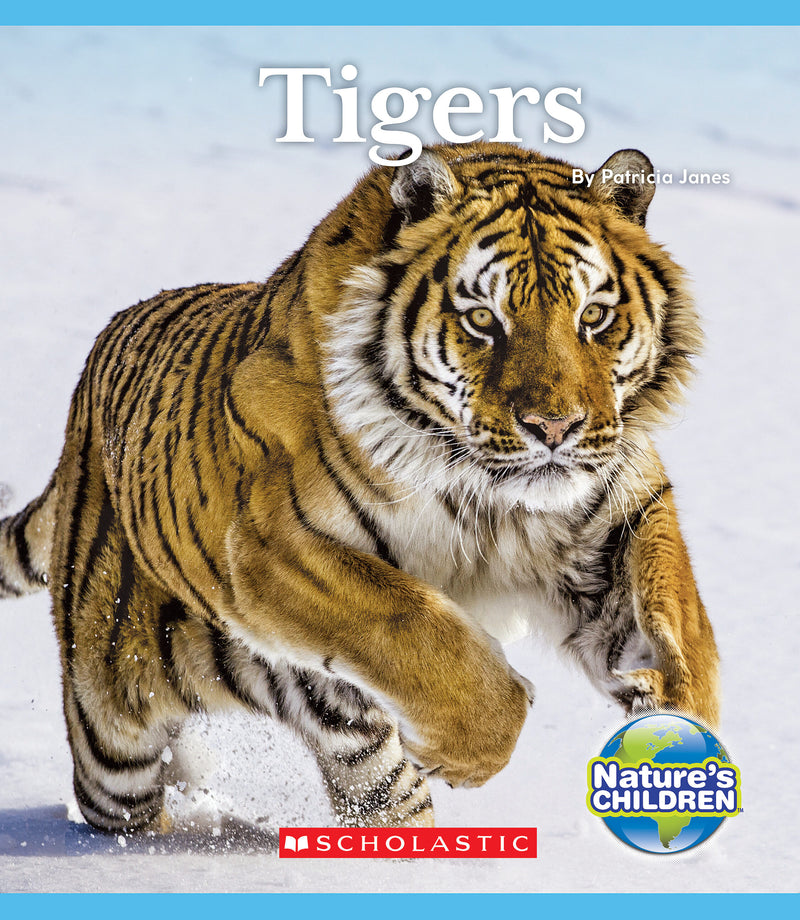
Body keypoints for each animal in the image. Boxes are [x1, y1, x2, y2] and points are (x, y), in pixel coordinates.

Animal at [0, 141, 719, 834]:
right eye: (484, 321)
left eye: (593, 316)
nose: (554, 427)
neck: (495, 497)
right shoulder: (272, 544)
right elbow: (413, 623)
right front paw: (468, 751)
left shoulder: (622, 504)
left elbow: (678, 613)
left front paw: (677, 718)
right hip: (111, 729)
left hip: (340, 739)